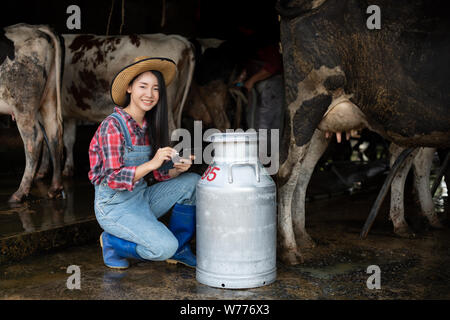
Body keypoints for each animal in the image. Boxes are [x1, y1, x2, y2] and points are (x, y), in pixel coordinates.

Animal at [0, 23, 64, 202]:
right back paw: (55, 188)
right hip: (48, 98)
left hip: (23, 104)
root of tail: (37, 28)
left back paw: (19, 194)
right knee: (53, 133)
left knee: (33, 139)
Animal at [36, 33, 193, 176]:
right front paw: (68, 168)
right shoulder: (69, 113)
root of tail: (179, 39)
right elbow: (68, 140)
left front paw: (43, 170)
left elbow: (47, 138)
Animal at [276, 0, 448, 264]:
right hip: (306, 103)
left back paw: (304, 237)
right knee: (287, 173)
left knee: (304, 173)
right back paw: (290, 250)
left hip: (322, 121)